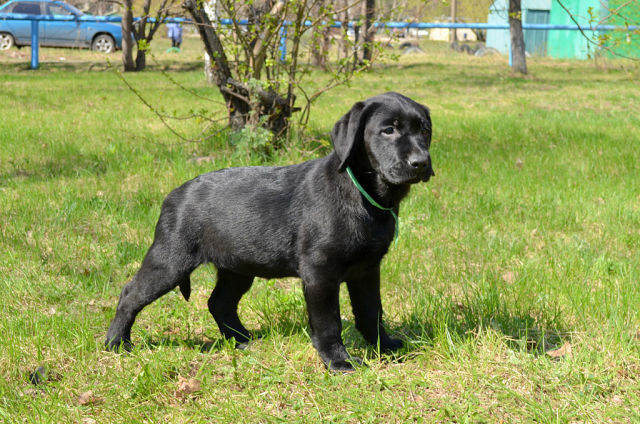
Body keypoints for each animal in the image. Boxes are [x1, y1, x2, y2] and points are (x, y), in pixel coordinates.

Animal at [106, 92, 434, 371]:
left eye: (425, 130)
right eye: (388, 130)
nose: (420, 163)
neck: (361, 192)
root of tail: (173, 195)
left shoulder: (367, 269)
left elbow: (371, 311)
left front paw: (385, 345)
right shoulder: (320, 271)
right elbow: (329, 322)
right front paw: (338, 361)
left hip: (237, 267)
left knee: (219, 303)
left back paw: (243, 340)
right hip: (171, 260)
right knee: (130, 293)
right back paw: (116, 343)